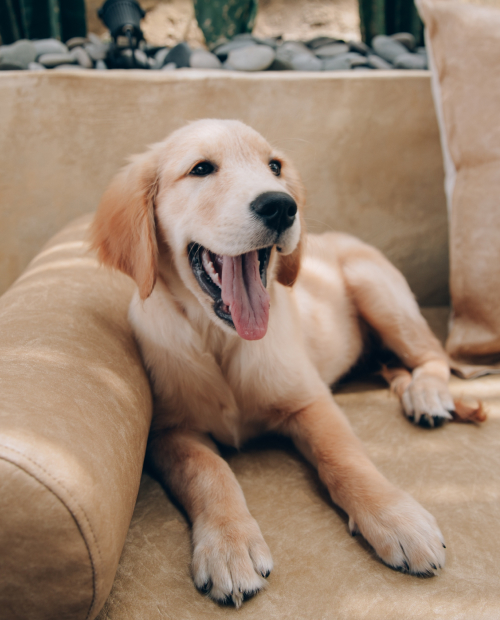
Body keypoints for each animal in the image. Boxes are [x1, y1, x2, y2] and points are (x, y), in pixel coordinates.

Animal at [91, 118, 454, 608]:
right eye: (201, 168)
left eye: (275, 167)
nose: (282, 206)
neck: (220, 339)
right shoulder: (168, 431)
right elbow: (210, 472)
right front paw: (229, 545)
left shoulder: (310, 401)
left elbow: (345, 457)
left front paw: (396, 516)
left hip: (377, 289)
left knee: (435, 355)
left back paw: (427, 392)